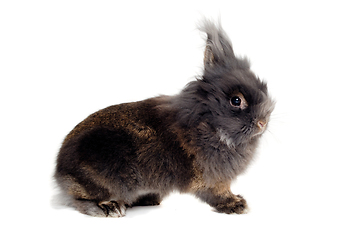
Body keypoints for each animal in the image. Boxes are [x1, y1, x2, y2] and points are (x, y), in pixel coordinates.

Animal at [53, 19, 274, 217]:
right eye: (236, 100)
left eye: (263, 88)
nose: (262, 123)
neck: (208, 124)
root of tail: (59, 172)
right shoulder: (211, 179)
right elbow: (218, 193)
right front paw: (236, 205)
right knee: (79, 200)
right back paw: (109, 208)